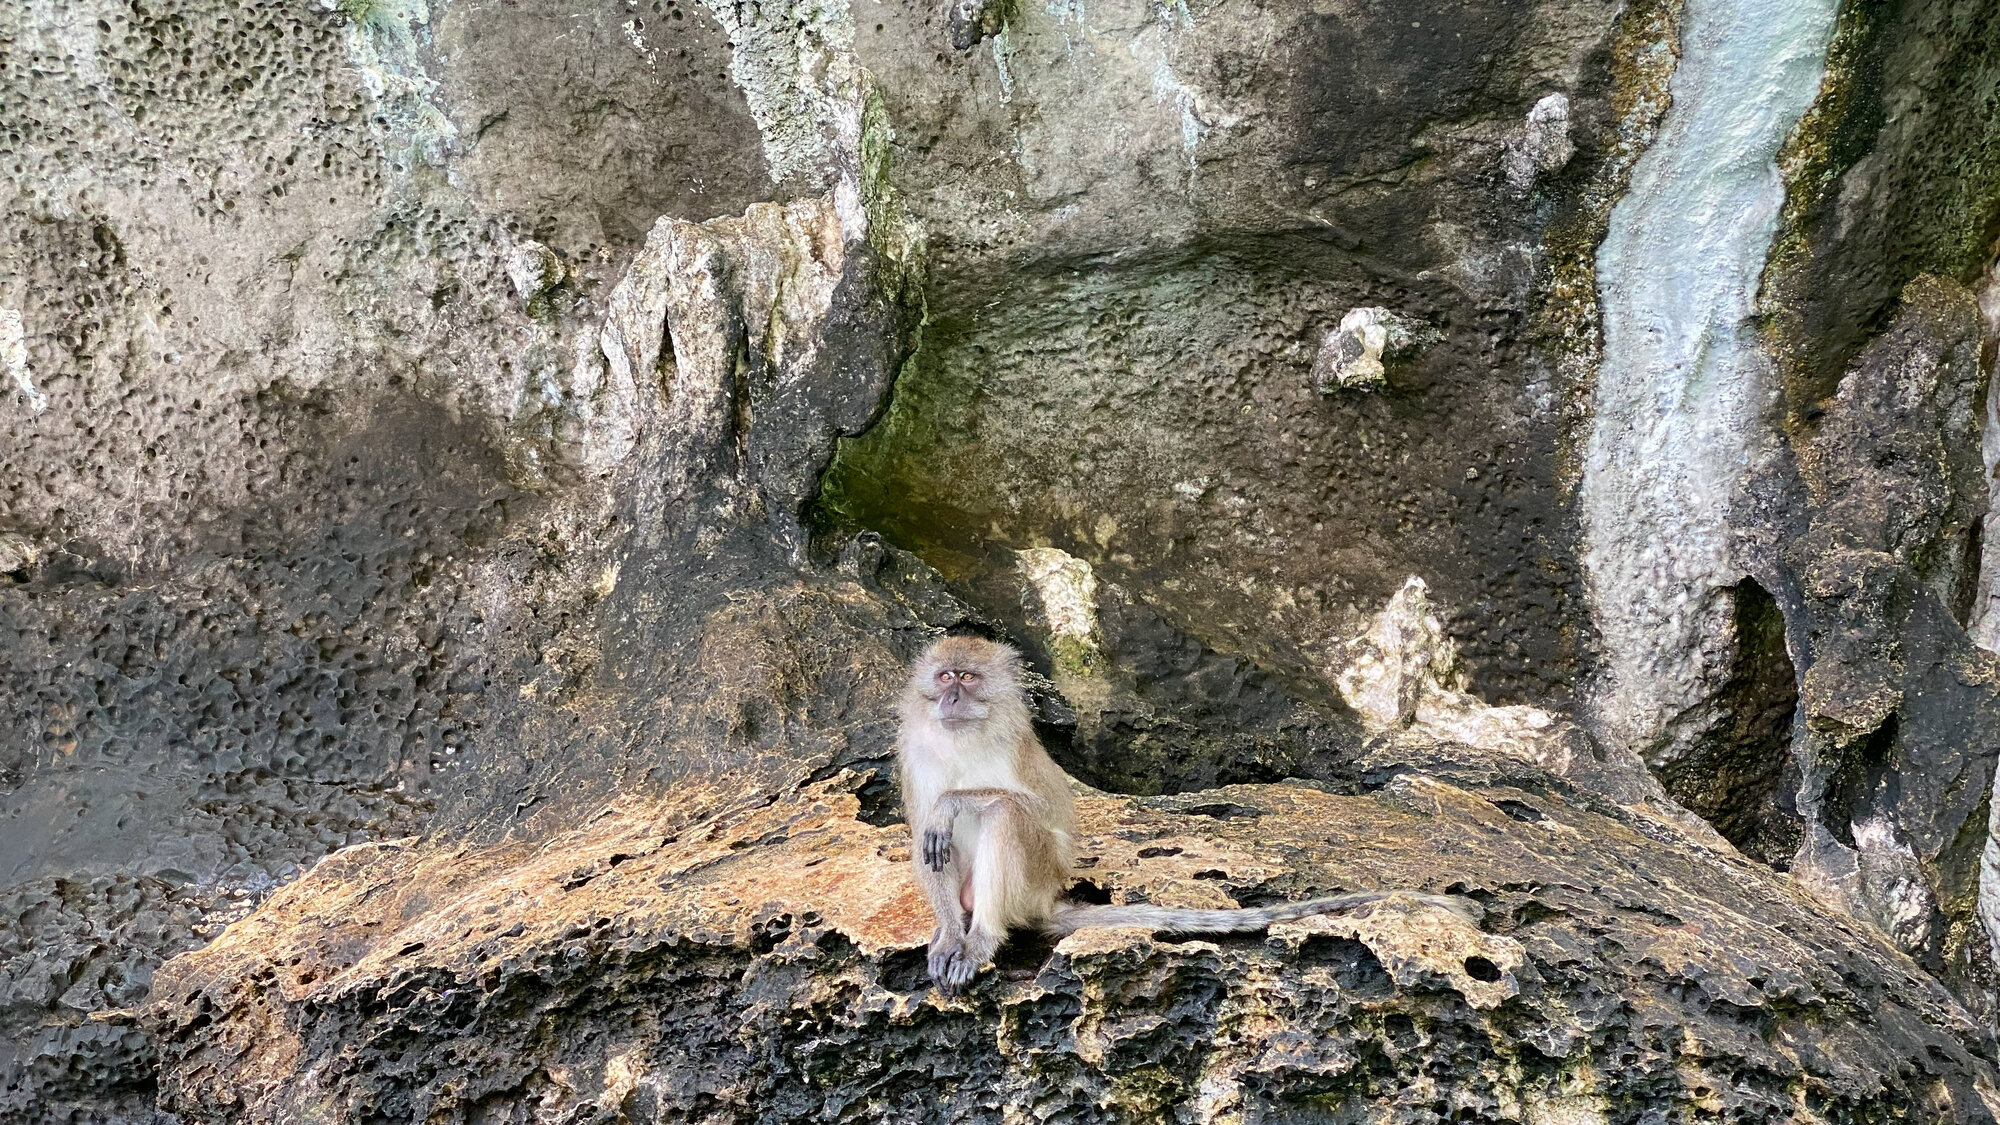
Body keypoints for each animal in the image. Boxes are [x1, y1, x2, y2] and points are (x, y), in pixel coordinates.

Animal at [898, 635, 1461, 994]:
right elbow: (923, 829)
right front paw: (949, 934)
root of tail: (1044, 901)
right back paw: (960, 932)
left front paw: (954, 803)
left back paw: (982, 938)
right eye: (944, 676)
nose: (949, 697)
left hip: (1034, 879)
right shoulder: (917, 753)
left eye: (968, 677)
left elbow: (1029, 813)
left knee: (1006, 817)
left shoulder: (1013, 750)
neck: (965, 737)